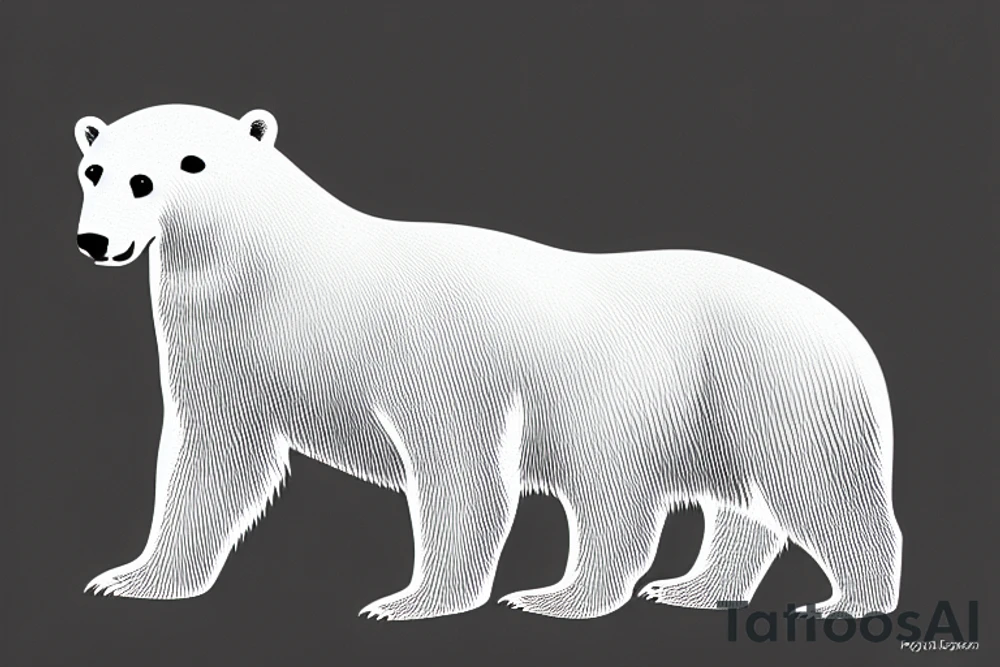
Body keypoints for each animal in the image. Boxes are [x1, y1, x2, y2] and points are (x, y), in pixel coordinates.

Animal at [75, 104, 902, 621]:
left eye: (190, 162)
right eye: (96, 168)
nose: (98, 240)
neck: (298, 282)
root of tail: (852, 335)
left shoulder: (433, 353)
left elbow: (459, 467)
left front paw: (412, 600)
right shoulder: (224, 352)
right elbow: (214, 460)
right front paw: (136, 578)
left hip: (768, 386)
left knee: (783, 488)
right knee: (732, 508)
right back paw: (690, 587)